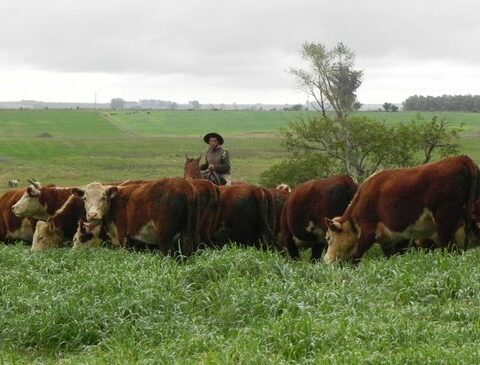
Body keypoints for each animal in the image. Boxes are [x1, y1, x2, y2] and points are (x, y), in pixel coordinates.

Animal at [71, 178, 199, 255]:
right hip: (188, 234)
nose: (92, 214)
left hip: (165, 236)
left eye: (103, 197)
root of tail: (184, 188)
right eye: (85, 198)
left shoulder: (123, 237)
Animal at [322, 155, 480, 264]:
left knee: (448, 249)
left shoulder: (368, 231)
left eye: (329, 238)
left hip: (445, 222)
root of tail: (462, 159)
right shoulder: (393, 238)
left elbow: (357, 256)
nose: (326, 260)